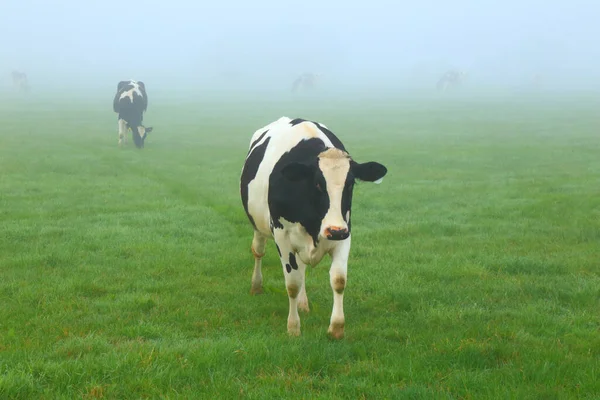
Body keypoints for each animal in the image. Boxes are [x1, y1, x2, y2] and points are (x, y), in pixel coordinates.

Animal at [240, 117, 390, 340]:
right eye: (318, 184)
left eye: (351, 184)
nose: (334, 230)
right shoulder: (282, 237)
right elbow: (292, 283)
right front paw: (293, 327)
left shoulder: (345, 232)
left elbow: (338, 279)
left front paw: (336, 327)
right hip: (259, 225)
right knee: (259, 251)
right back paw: (256, 286)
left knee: (301, 268)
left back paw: (303, 303)